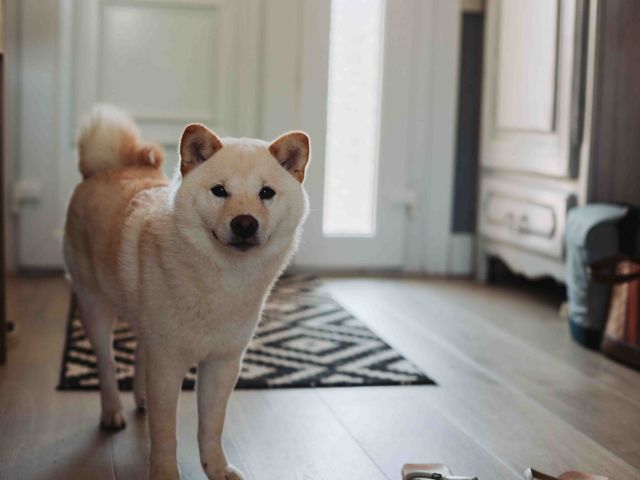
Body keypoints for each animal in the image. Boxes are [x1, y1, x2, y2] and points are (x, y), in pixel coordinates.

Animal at [65, 106, 312, 480]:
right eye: (220, 191)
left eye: (266, 193)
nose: (244, 223)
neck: (225, 281)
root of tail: (103, 169)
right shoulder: (168, 364)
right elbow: (165, 433)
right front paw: (166, 473)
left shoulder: (222, 364)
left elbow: (211, 426)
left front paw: (217, 468)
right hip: (94, 306)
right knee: (107, 364)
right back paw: (111, 412)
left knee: (140, 353)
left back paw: (140, 399)